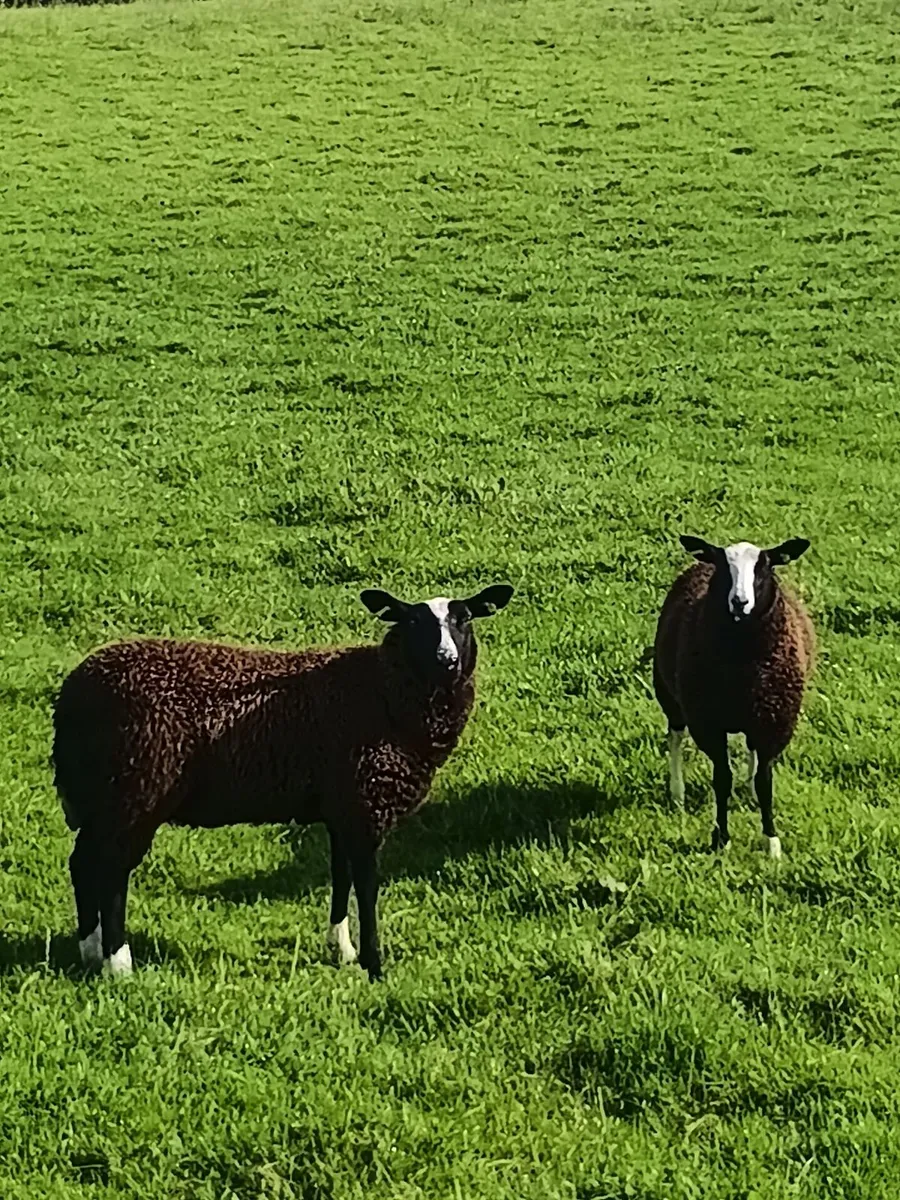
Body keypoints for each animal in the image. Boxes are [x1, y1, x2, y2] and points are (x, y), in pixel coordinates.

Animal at [52, 582, 514, 979]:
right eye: (414, 621)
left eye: (464, 619)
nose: (446, 660)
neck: (384, 691)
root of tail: (73, 694)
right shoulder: (365, 803)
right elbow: (367, 887)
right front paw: (374, 964)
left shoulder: (342, 805)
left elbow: (340, 875)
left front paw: (342, 950)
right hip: (133, 791)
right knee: (112, 873)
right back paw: (118, 964)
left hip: (103, 797)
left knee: (83, 863)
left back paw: (89, 950)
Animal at [653, 536, 814, 858]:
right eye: (724, 568)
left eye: (764, 568)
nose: (740, 602)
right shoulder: (708, 724)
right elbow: (722, 779)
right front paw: (722, 839)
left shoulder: (772, 720)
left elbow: (765, 781)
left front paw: (772, 844)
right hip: (670, 697)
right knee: (675, 738)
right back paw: (677, 793)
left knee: (751, 754)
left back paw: (749, 790)